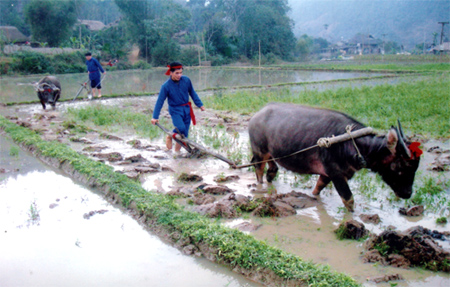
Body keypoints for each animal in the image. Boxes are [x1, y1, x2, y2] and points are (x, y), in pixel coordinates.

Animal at [250, 103, 422, 212]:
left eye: (415, 167)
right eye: (402, 165)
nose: (407, 193)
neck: (352, 144)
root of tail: (257, 115)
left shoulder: (327, 174)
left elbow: (317, 189)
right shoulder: (336, 174)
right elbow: (349, 199)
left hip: (270, 153)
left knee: (272, 168)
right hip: (260, 152)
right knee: (258, 169)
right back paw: (260, 186)